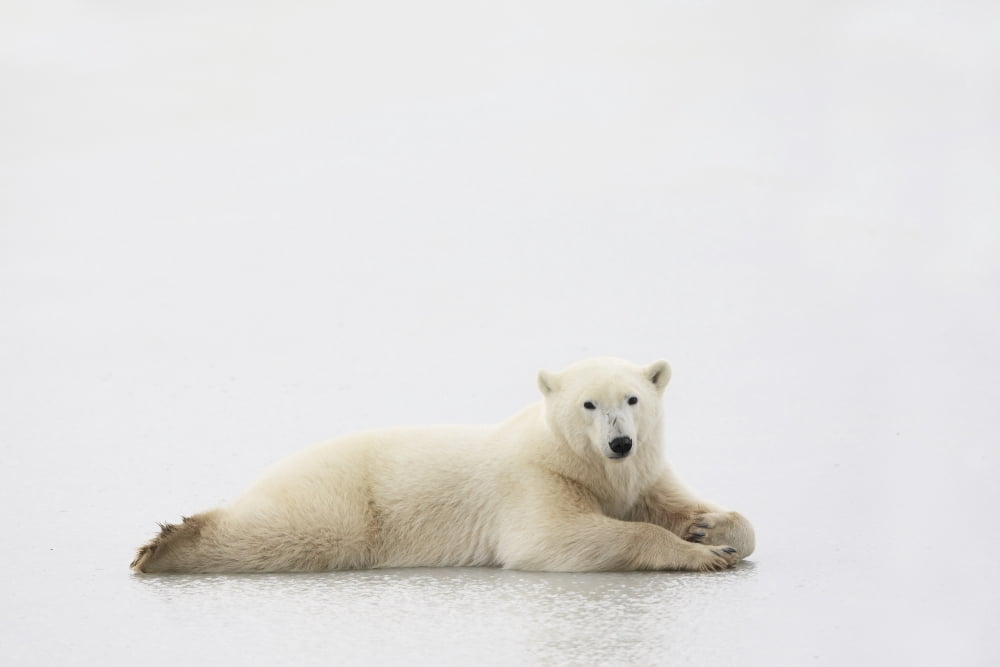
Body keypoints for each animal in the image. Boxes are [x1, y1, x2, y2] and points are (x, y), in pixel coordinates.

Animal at [131, 357, 755, 574]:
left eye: (632, 398)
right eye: (587, 404)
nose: (621, 442)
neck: (585, 464)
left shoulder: (645, 477)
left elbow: (690, 508)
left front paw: (710, 529)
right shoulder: (536, 479)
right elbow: (554, 538)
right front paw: (704, 555)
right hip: (344, 500)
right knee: (294, 534)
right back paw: (168, 545)